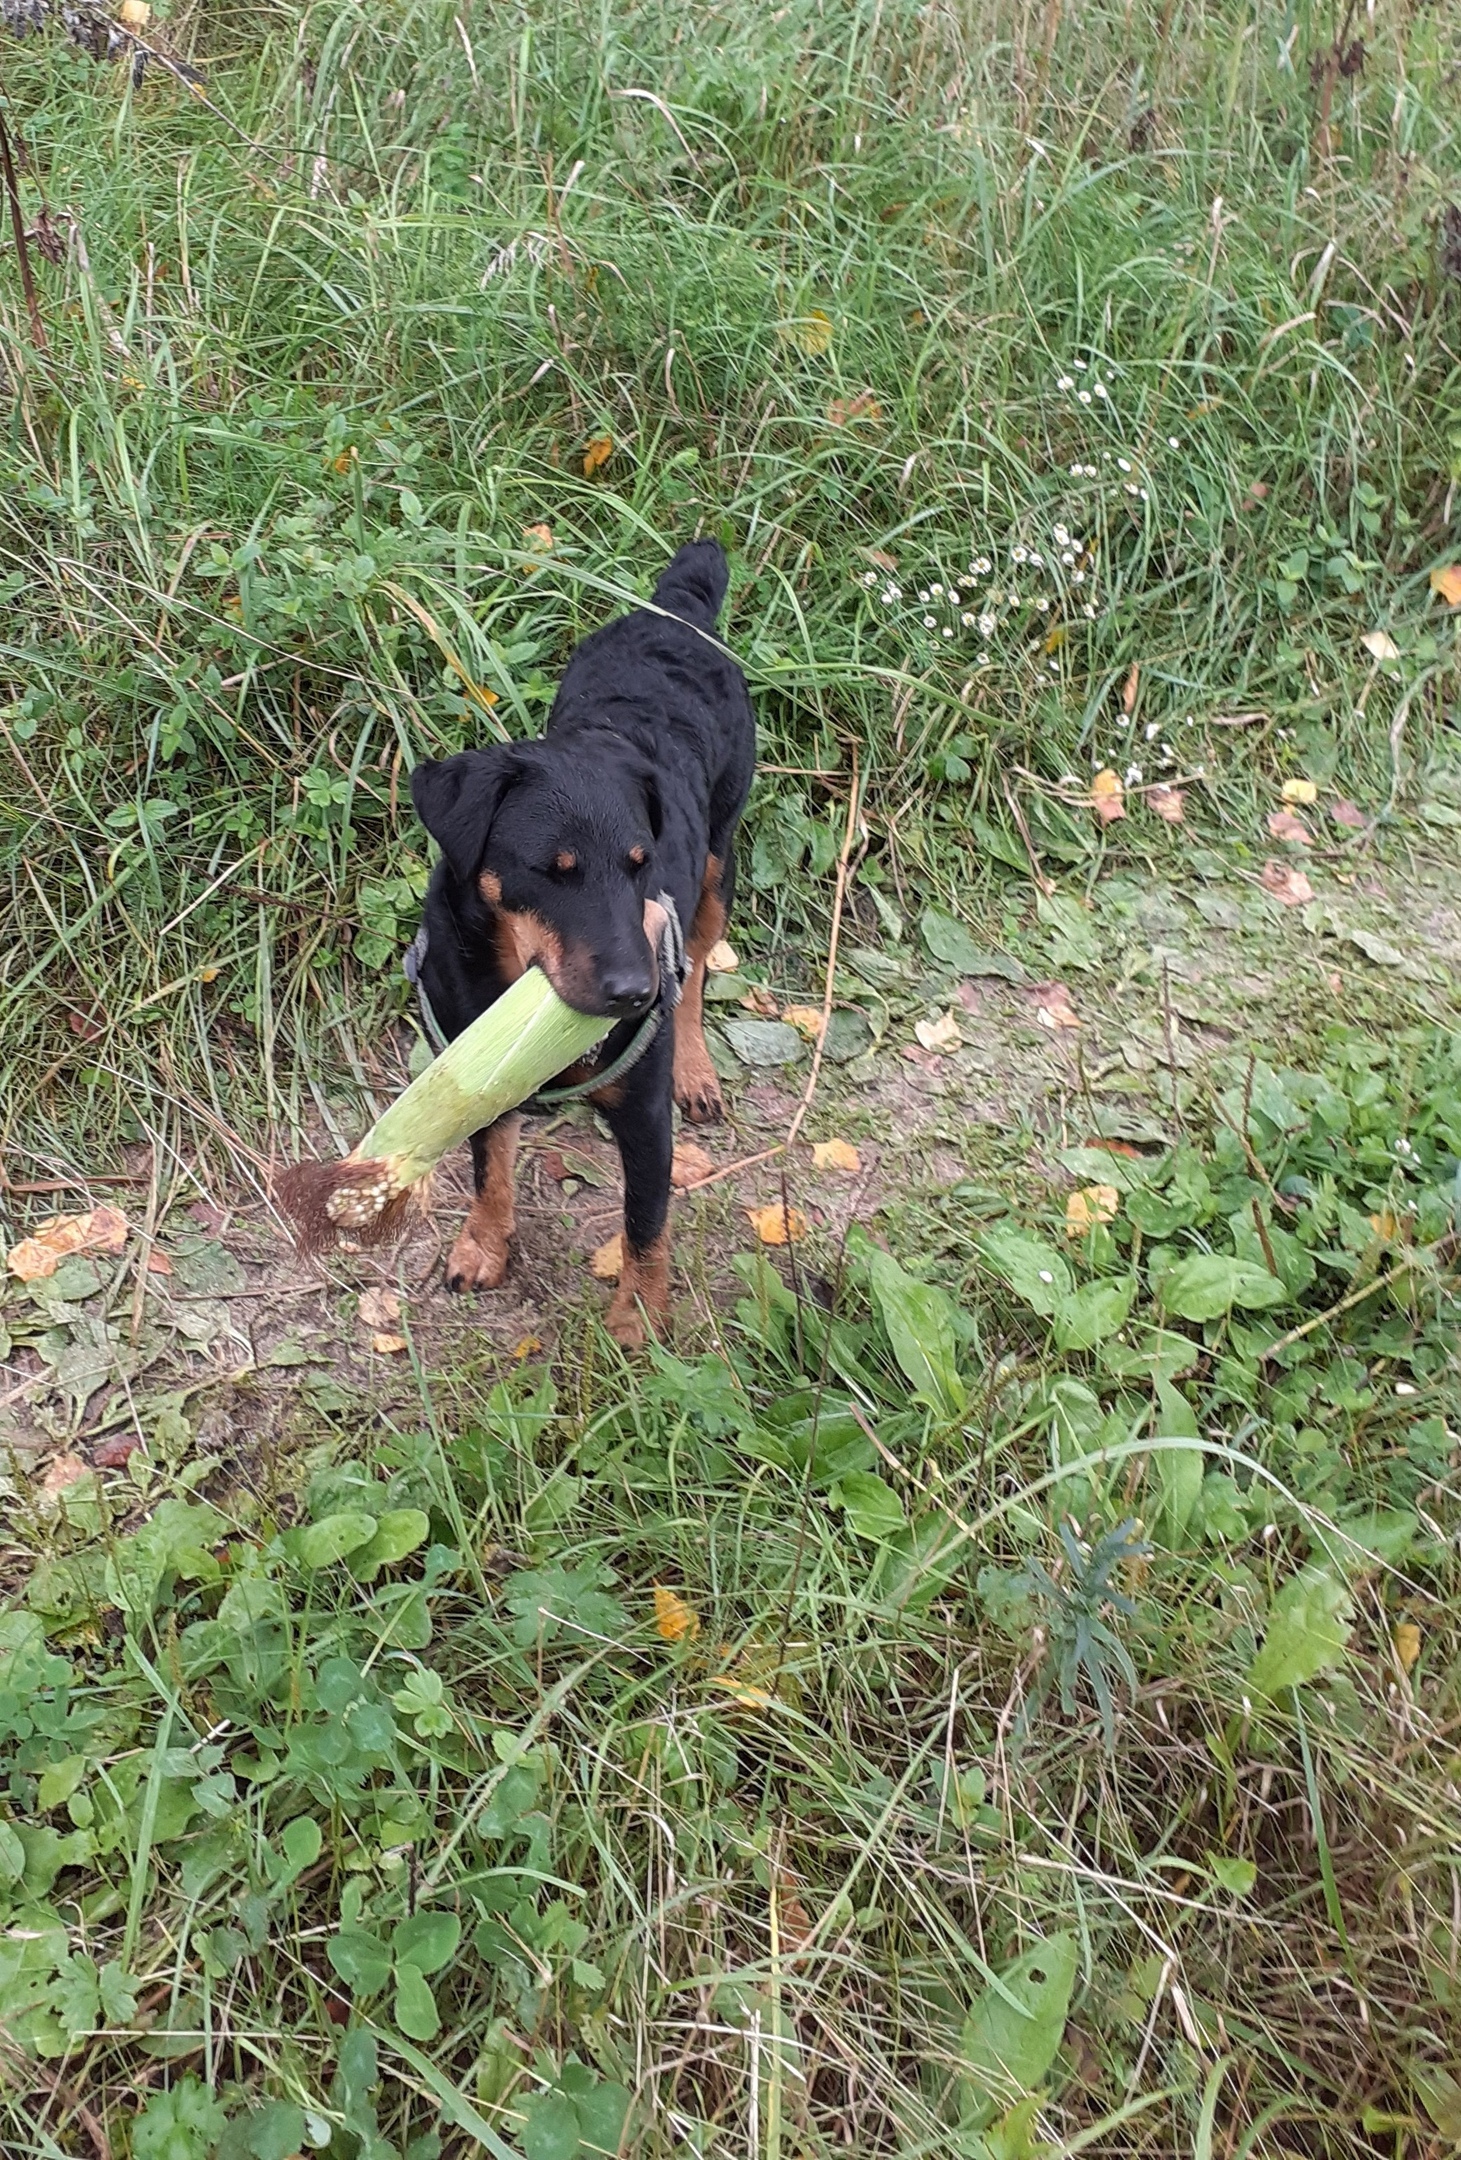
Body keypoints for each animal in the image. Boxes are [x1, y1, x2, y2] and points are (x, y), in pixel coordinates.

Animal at [408, 540, 752, 1339]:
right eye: (551, 871)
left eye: (639, 864)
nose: (634, 993)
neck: (510, 983)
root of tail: (678, 610)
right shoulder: (476, 1067)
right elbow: (490, 1167)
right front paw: (484, 1245)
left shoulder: (645, 1117)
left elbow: (646, 1222)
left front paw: (638, 1320)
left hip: (716, 868)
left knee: (696, 972)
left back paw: (696, 1066)